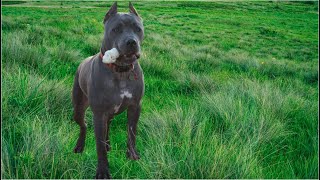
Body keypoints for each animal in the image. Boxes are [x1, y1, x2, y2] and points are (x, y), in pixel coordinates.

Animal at [72, 1, 144, 179]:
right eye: (116, 29)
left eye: (138, 29)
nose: (131, 42)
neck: (121, 71)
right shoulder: (99, 114)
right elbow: (99, 145)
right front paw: (103, 171)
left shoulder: (135, 107)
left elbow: (131, 133)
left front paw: (132, 155)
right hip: (78, 108)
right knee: (84, 125)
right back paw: (80, 146)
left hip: (109, 114)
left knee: (107, 127)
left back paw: (108, 144)